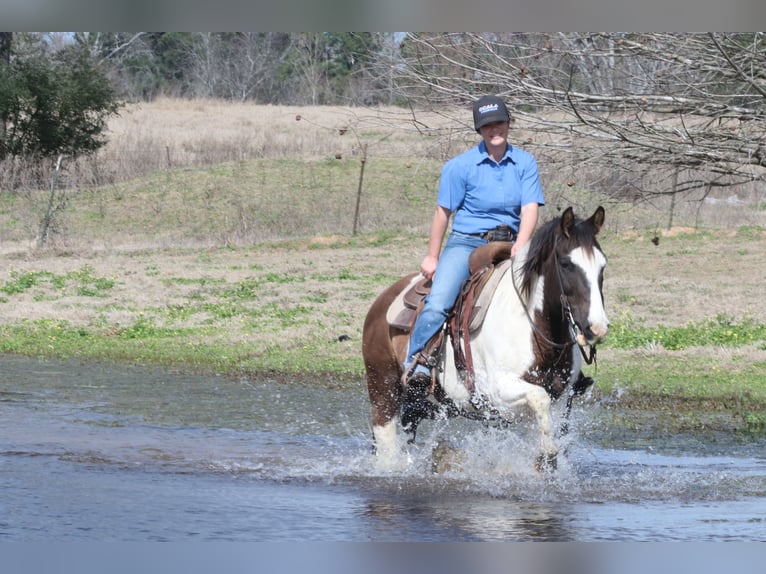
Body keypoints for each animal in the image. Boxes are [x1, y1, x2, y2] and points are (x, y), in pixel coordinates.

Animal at [364, 207, 608, 472]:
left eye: (602, 266)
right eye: (566, 264)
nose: (597, 327)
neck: (534, 328)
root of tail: (381, 301)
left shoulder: (561, 398)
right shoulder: (498, 392)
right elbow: (539, 398)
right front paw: (548, 454)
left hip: (420, 402)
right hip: (383, 389)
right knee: (387, 443)